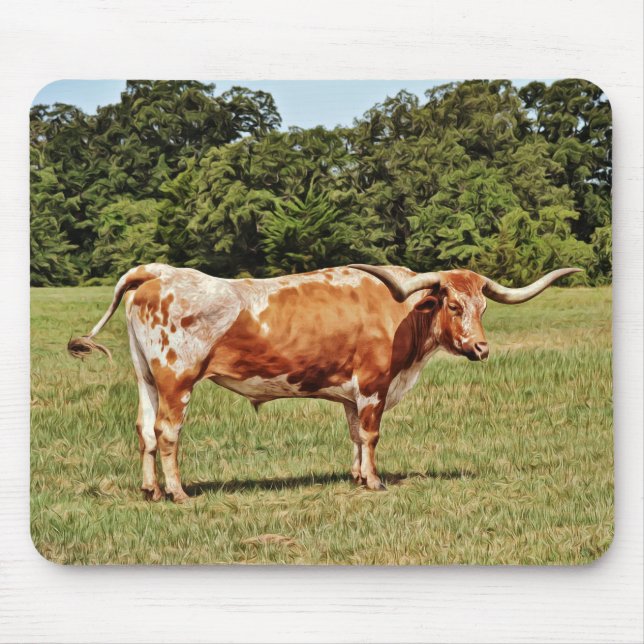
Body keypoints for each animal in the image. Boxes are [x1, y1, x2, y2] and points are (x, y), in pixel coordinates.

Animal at [68, 262, 580, 502]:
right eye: (453, 305)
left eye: (483, 306)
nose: (481, 348)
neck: (402, 314)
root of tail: (159, 272)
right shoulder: (373, 385)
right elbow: (371, 435)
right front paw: (373, 481)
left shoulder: (352, 394)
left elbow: (353, 434)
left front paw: (355, 475)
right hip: (178, 379)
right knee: (168, 432)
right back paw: (177, 492)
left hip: (146, 377)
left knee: (144, 430)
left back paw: (150, 490)